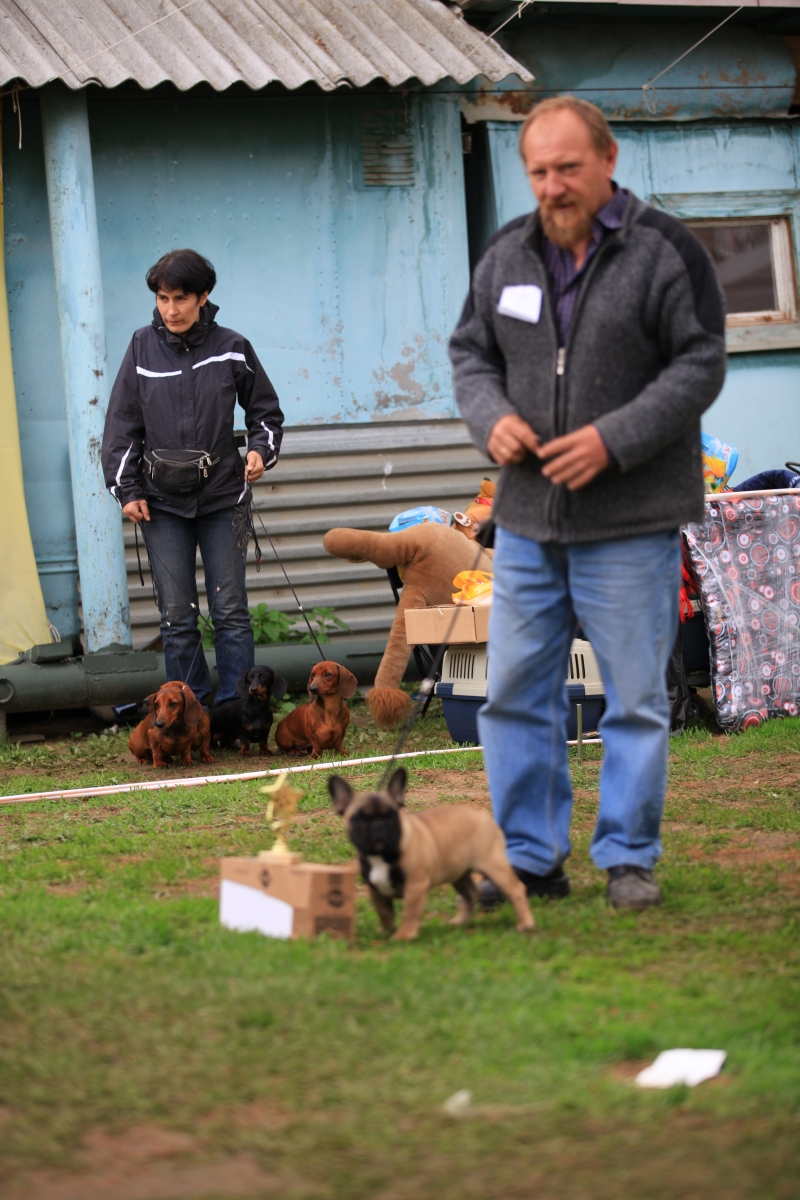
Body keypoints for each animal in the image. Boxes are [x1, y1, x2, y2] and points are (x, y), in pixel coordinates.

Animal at [328, 763, 534, 940]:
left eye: (392, 814)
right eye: (357, 818)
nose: (378, 825)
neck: (382, 856)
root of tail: (482, 816)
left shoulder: (415, 886)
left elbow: (410, 913)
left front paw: (403, 936)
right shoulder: (376, 889)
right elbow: (384, 912)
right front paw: (385, 932)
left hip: (492, 864)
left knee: (516, 889)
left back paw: (526, 924)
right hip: (458, 872)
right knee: (471, 892)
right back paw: (460, 921)